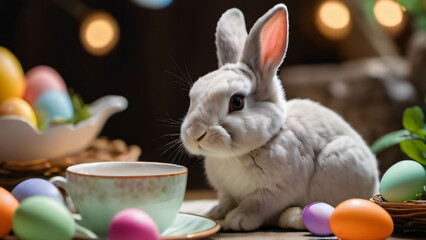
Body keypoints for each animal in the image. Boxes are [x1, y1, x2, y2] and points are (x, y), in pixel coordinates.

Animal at [180, 3, 380, 232]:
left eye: (237, 102)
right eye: (193, 96)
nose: (194, 132)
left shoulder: (275, 192)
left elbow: (256, 204)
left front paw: (238, 219)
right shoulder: (226, 192)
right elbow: (226, 201)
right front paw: (214, 214)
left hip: (341, 162)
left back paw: (295, 217)